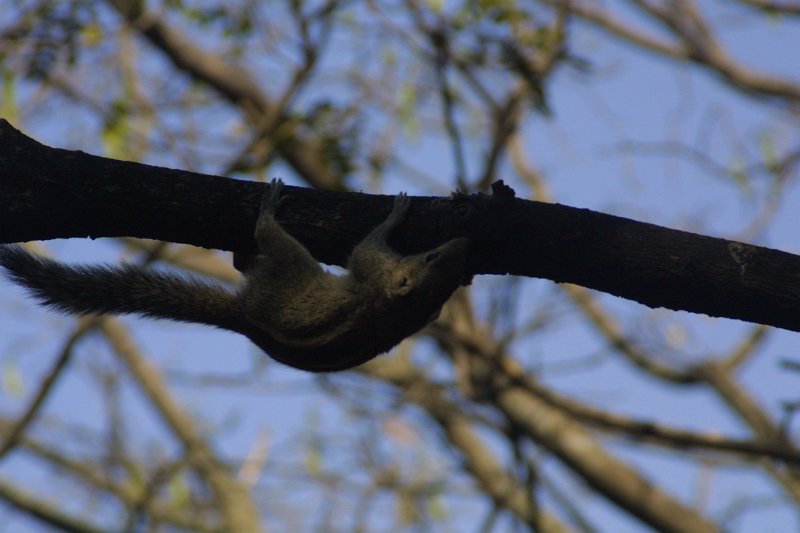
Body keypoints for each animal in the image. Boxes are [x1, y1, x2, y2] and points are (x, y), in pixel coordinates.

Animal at [0, 179, 470, 372]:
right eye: (434, 258)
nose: (462, 246)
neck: (400, 311)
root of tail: (244, 316)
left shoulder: (375, 268)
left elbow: (365, 248)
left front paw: (394, 214)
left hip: (290, 268)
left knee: (266, 247)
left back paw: (265, 214)